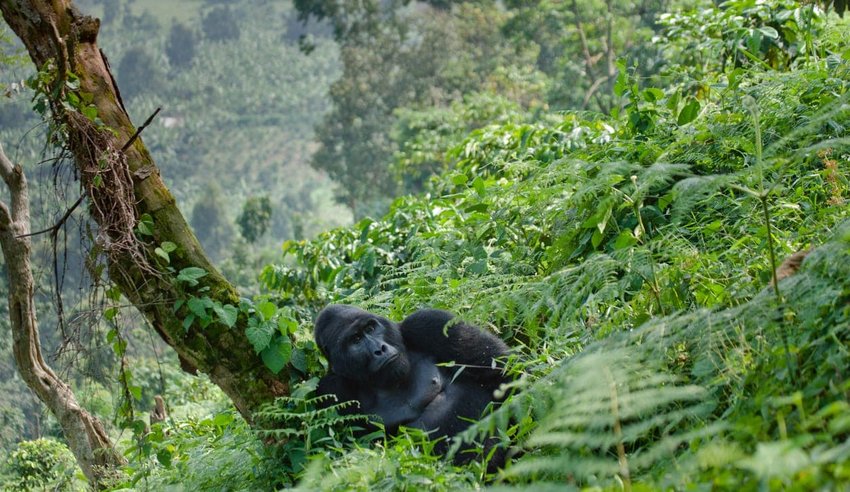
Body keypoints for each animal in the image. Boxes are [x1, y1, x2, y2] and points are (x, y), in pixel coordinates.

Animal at [314, 306, 506, 452]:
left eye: (370, 329)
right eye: (356, 340)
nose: (380, 349)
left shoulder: (428, 323)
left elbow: (501, 369)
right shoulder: (332, 388)